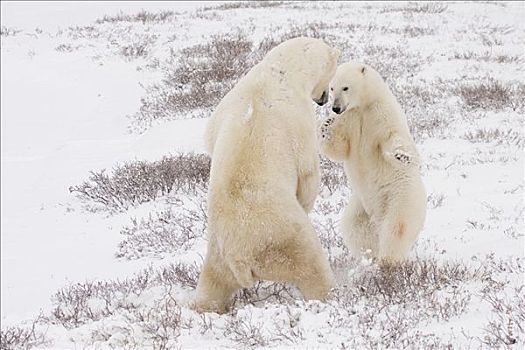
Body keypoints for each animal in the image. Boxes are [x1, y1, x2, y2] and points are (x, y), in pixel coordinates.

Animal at [195, 37, 340, 314]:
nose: (324, 99)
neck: (280, 72)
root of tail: (240, 258)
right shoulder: (300, 124)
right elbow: (308, 173)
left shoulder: (224, 109)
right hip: (282, 237)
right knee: (312, 265)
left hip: (217, 254)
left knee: (212, 287)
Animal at [320, 61, 426, 264]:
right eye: (332, 88)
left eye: (346, 87)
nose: (335, 107)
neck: (363, 106)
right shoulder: (349, 119)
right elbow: (340, 148)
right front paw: (326, 125)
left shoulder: (381, 113)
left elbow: (393, 135)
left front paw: (402, 155)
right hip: (360, 205)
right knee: (354, 228)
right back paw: (370, 256)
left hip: (399, 195)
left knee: (396, 227)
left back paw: (387, 261)